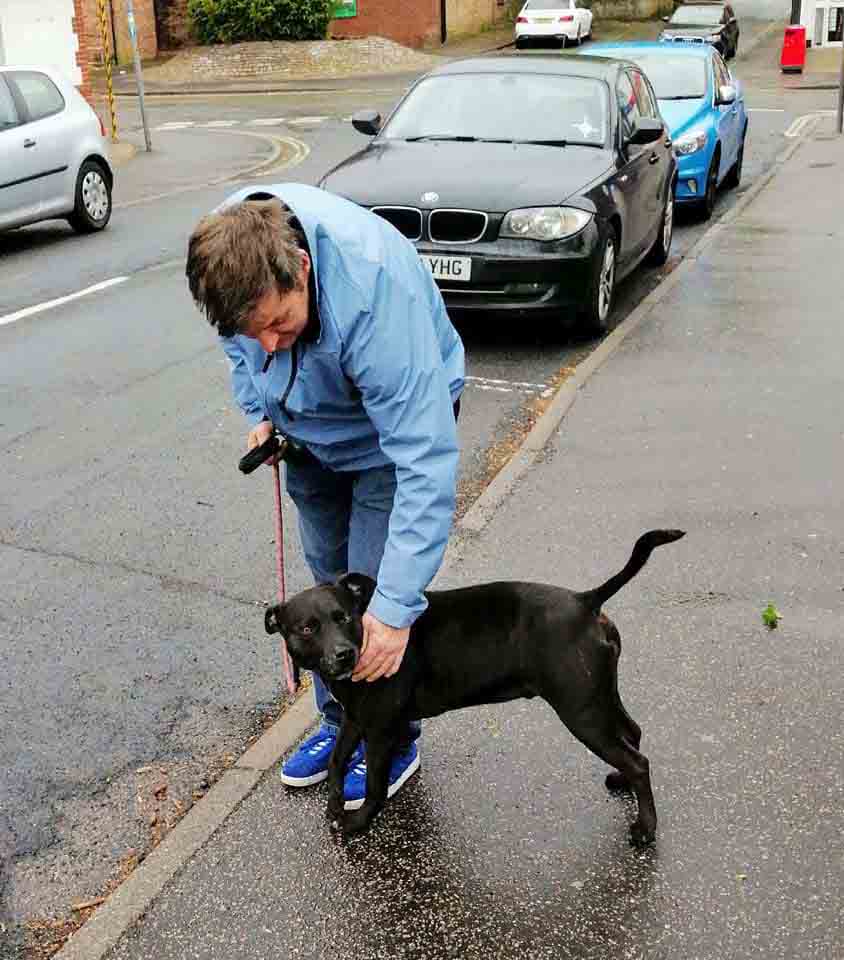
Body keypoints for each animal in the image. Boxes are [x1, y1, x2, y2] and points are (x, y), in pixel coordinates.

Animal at [268, 528, 684, 844]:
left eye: (344, 617)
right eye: (308, 627)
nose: (344, 654)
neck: (370, 633)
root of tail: (586, 601)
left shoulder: (382, 729)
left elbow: (373, 784)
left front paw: (358, 821)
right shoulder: (355, 719)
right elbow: (337, 760)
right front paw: (335, 804)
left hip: (582, 712)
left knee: (638, 761)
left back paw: (646, 828)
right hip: (599, 696)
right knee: (633, 734)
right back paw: (624, 782)